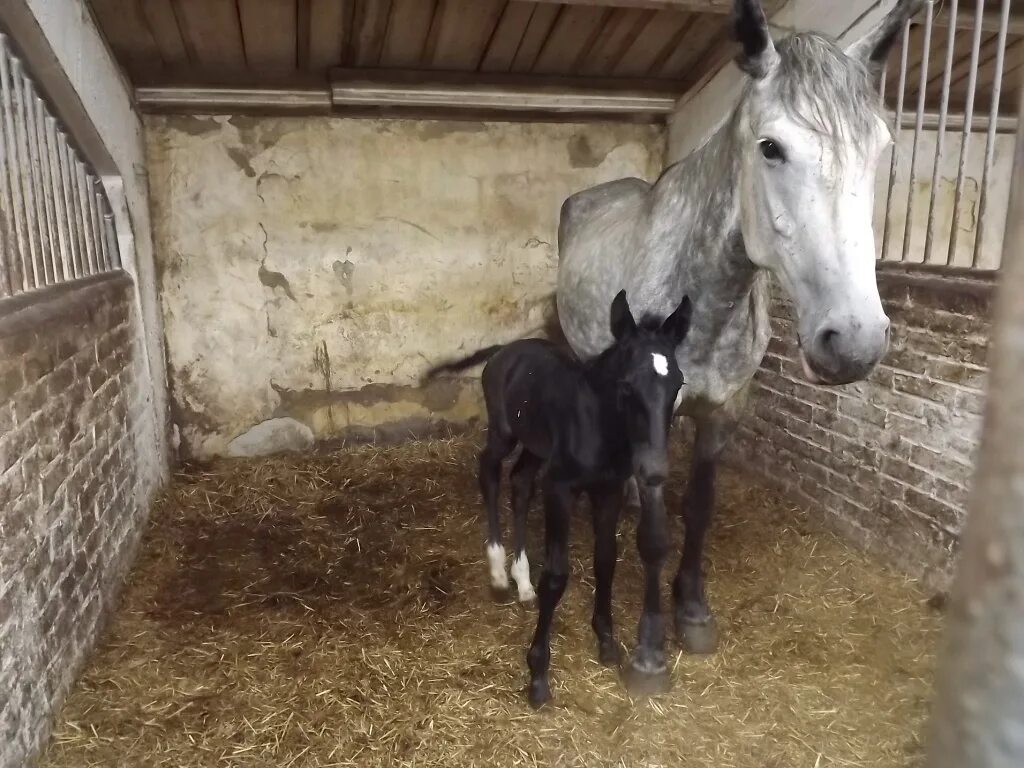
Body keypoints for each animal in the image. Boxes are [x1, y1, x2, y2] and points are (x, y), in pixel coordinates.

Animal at [419, 290, 692, 708]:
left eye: (677, 383)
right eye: (627, 385)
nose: (654, 470)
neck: (599, 427)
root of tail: (506, 349)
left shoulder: (608, 491)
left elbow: (605, 560)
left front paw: (607, 641)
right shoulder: (561, 490)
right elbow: (557, 575)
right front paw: (538, 674)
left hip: (536, 446)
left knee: (520, 483)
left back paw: (522, 581)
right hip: (504, 431)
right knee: (489, 471)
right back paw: (498, 572)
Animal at [557, 0, 925, 671]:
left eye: (881, 149)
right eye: (770, 147)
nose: (854, 340)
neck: (701, 303)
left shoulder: (725, 410)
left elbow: (698, 511)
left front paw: (694, 612)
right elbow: (656, 531)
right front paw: (650, 647)